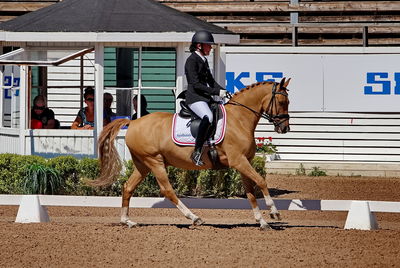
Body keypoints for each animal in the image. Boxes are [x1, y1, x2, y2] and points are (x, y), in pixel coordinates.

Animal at [90, 77, 290, 230]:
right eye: (282, 102)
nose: (285, 128)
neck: (239, 119)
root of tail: (133, 122)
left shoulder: (244, 162)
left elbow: (250, 193)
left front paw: (262, 222)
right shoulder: (238, 161)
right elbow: (261, 181)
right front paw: (274, 213)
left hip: (142, 165)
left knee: (128, 187)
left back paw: (128, 221)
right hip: (155, 161)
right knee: (168, 190)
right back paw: (194, 218)